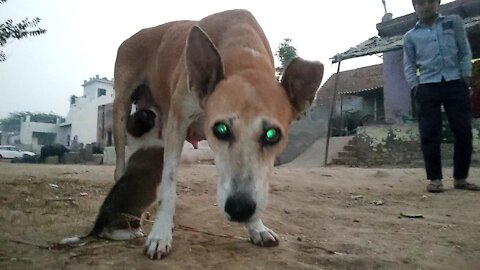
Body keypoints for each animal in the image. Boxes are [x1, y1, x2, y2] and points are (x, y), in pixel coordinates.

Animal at [110, 9, 324, 260]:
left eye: (272, 134)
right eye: (220, 129)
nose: (240, 209)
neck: (244, 57)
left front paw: (257, 228)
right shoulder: (178, 123)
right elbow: (169, 185)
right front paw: (160, 234)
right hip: (122, 108)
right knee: (121, 166)